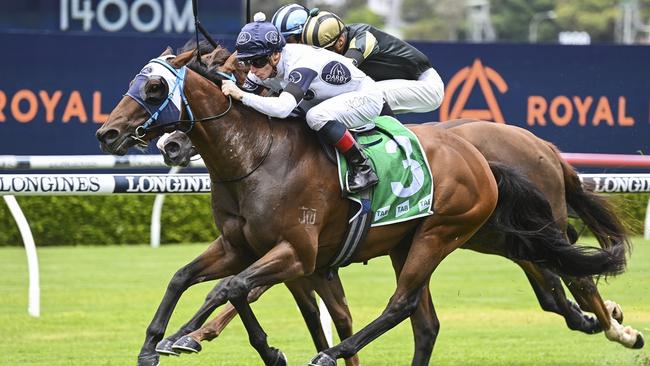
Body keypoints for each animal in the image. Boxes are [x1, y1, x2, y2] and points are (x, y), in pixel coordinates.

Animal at [96, 49, 632, 366]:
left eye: (154, 88)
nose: (108, 133)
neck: (258, 156)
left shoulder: (296, 253)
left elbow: (231, 291)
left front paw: (190, 338)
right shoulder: (245, 247)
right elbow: (191, 280)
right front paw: (157, 342)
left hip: (443, 234)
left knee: (405, 305)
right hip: (434, 241)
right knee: (435, 320)